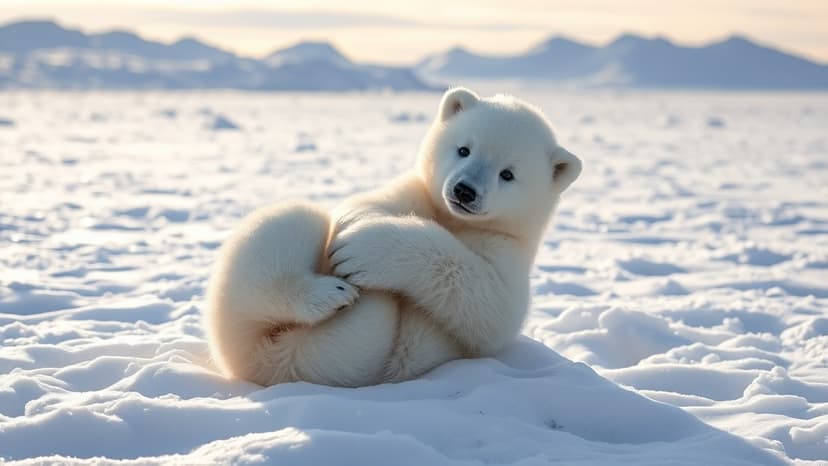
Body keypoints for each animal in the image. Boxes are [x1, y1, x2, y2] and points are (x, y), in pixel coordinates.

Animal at [204, 87, 582, 387]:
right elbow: (359, 208)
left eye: (508, 174)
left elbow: (490, 301)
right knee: (293, 222)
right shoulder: (412, 192)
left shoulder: (507, 247)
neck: (451, 218)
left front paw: (364, 254)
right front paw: (353, 245)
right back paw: (328, 293)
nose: (464, 190)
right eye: (464, 149)